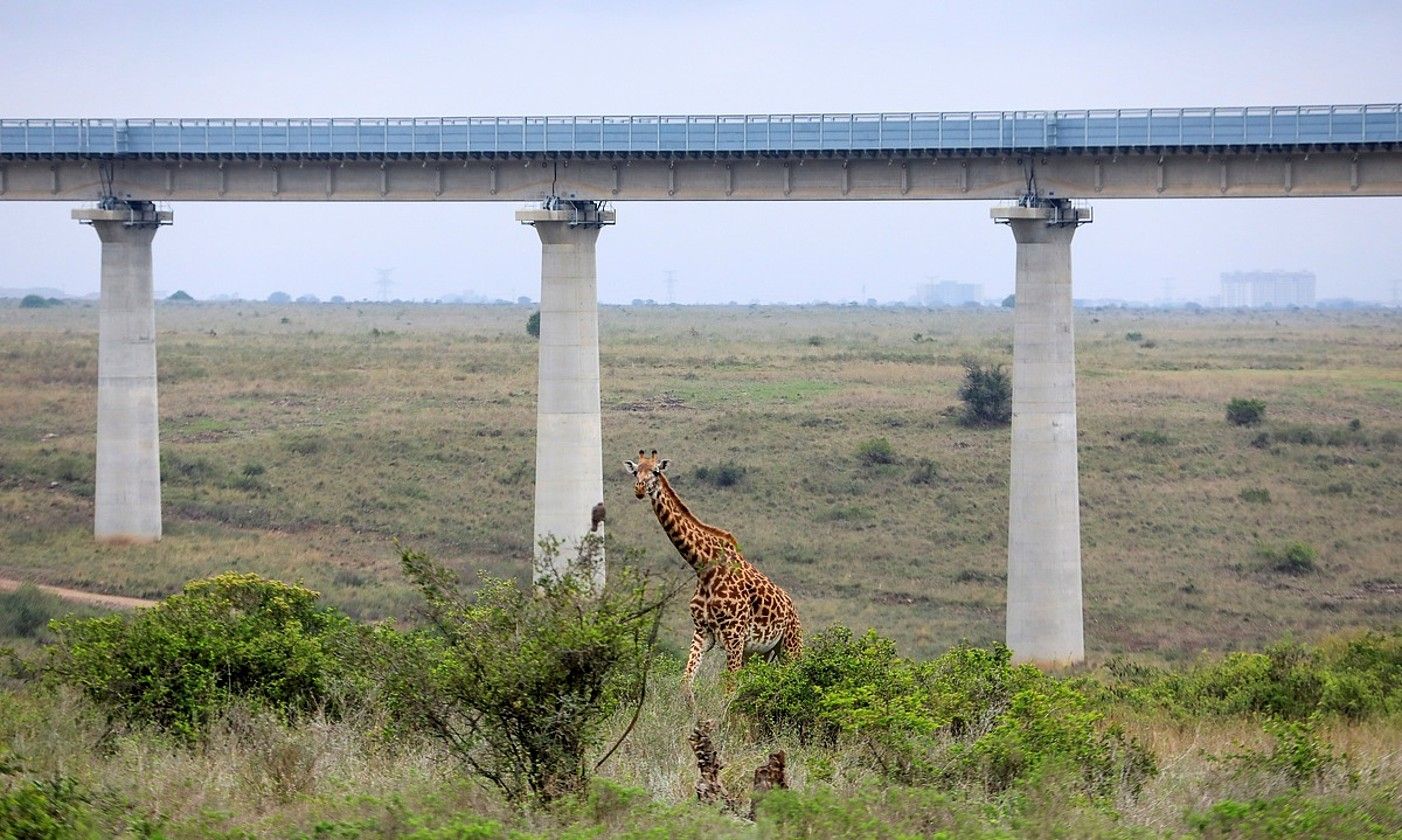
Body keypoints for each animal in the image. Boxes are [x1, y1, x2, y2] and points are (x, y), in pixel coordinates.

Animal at [622, 451, 801, 692]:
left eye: (656, 471)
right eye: (635, 471)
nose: (640, 489)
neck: (703, 567)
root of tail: (792, 608)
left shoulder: (734, 635)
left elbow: (729, 688)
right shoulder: (702, 631)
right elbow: (686, 682)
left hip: (790, 645)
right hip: (760, 652)